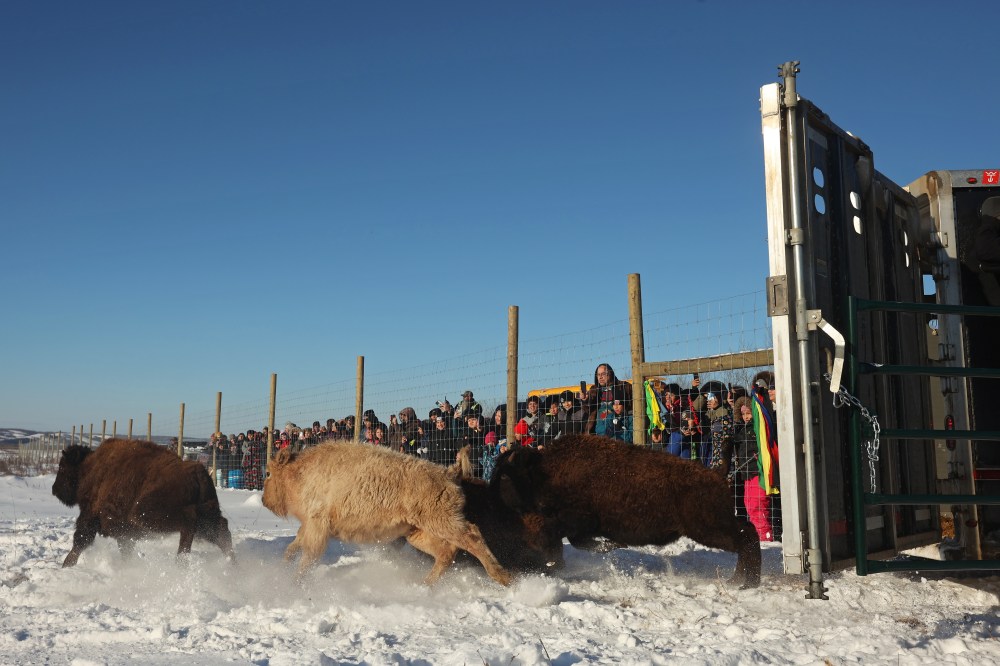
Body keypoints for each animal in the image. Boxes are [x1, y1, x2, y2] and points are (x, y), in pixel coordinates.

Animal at [52, 439, 235, 567]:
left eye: (62, 468)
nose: (54, 490)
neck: (88, 468)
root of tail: (197, 472)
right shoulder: (123, 534)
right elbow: (125, 550)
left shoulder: (90, 516)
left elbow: (80, 540)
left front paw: (67, 565)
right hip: (208, 516)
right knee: (222, 532)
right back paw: (234, 566)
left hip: (144, 514)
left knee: (189, 523)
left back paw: (180, 563)